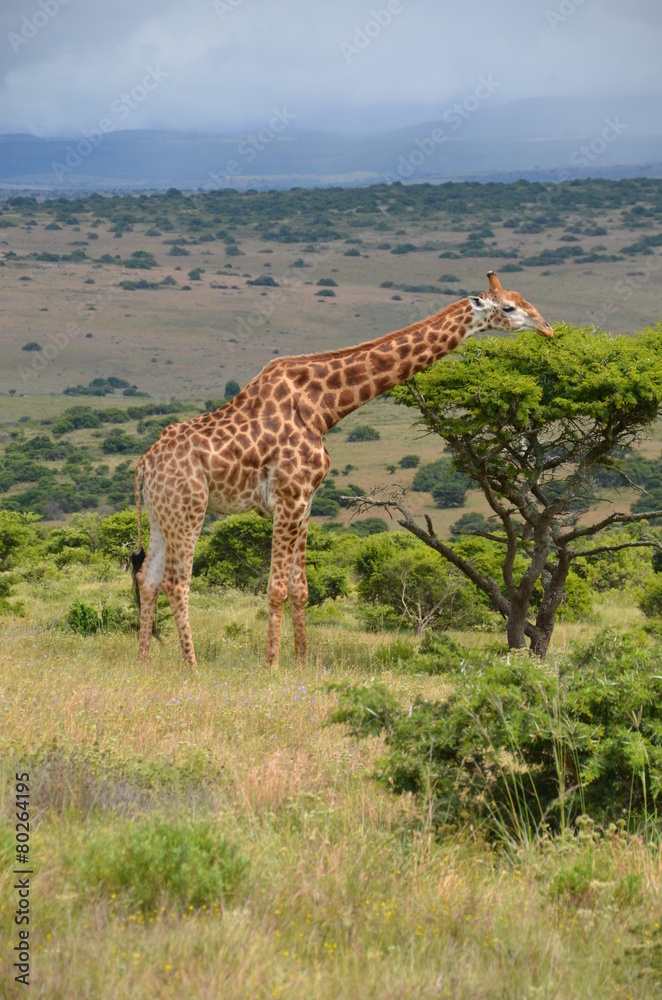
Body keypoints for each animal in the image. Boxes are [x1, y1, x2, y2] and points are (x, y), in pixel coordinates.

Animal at [132, 271, 552, 669]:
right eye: (510, 307)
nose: (547, 328)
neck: (321, 407)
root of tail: (143, 466)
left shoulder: (305, 502)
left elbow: (300, 588)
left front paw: (302, 664)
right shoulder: (289, 497)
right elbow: (276, 587)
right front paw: (271, 667)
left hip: (160, 514)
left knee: (147, 578)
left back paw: (145, 664)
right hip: (189, 509)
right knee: (176, 582)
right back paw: (192, 667)